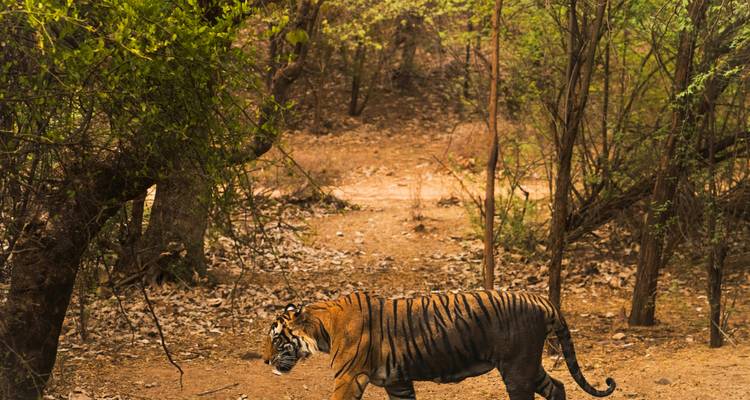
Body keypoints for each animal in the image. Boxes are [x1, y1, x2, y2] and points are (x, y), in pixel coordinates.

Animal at [261, 290, 616, 400]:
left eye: (276, 339)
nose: (264, 361)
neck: (323, 328)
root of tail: (543, 301)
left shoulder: (349, 378)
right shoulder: (397, 381)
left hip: (517, 370)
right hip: (527, 365)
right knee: (557, 386)